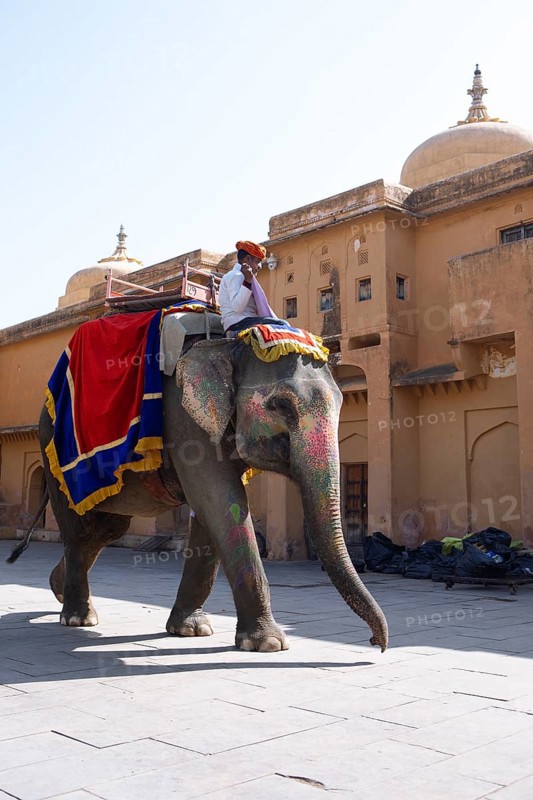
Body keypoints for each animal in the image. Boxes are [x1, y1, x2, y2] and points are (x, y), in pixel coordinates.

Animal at [39, 337, 388, 652]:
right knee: (81, 530)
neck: (229, 345)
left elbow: (210, 512)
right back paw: (78, 618)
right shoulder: (184, 420)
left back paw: (58, 589)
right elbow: (222, 501)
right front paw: (268, 644)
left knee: (105, 530)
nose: (377, 643)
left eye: (341, 403)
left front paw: (191, 630)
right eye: (281, 405)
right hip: (53, 450)